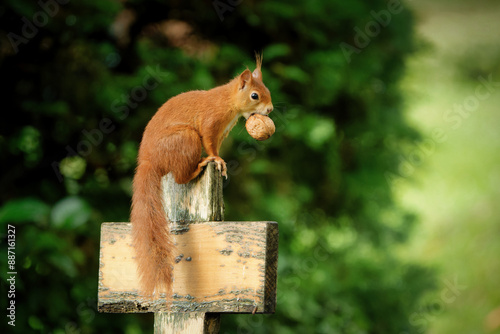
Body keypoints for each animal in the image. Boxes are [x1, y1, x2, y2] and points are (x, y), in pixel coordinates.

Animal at [131, 55, 274, 298]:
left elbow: (215, 145)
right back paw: (198, 168)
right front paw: (217, 161)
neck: (228, 102)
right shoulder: (211, 122)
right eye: (255, 95)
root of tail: (148, 160)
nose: (270, 109)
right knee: (180, 177)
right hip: (186, 138)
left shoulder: (222, 133)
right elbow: (210, 144)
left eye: (268, 90)